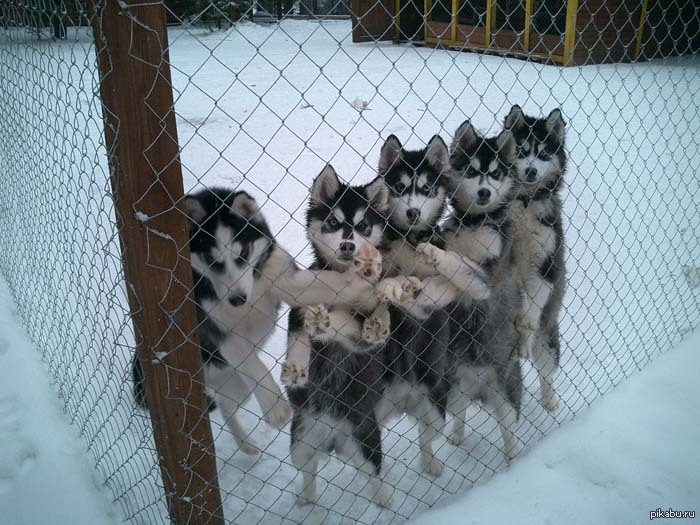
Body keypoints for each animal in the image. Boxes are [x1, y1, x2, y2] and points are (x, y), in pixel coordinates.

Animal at [131, 186, 382, 452]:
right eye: (211, 261)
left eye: (243, 253)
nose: (237, 299)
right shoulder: (219, 332)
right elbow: (254, 365)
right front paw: (276, 407)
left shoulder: (284, 280)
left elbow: (326, 283)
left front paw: (361, 277)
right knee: (226, 404)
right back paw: (246, 443)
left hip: (237, 384)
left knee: (226, 405)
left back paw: (246, 446)